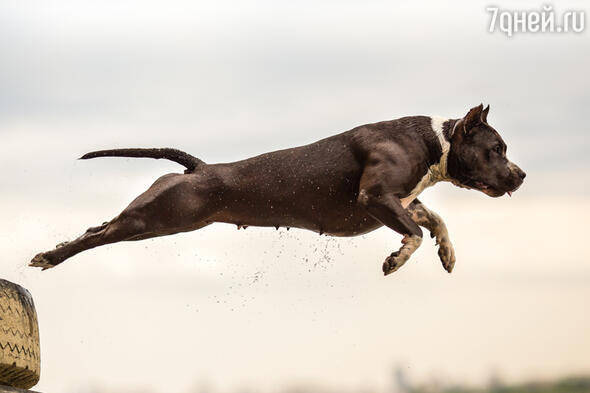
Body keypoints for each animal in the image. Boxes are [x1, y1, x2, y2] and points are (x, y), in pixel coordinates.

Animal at [30, 105, 528, 276]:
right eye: (497, 148)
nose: (521, 175)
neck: (433, 141)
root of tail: (199, 168)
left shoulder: (406, 201)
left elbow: (434, 221)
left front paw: (448, 254)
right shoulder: (376, 200)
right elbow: (415, 233)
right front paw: (397, 259)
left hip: (162, 220)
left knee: (100, 227)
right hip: (154, 217)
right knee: (96, 235)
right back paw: (51, 256)